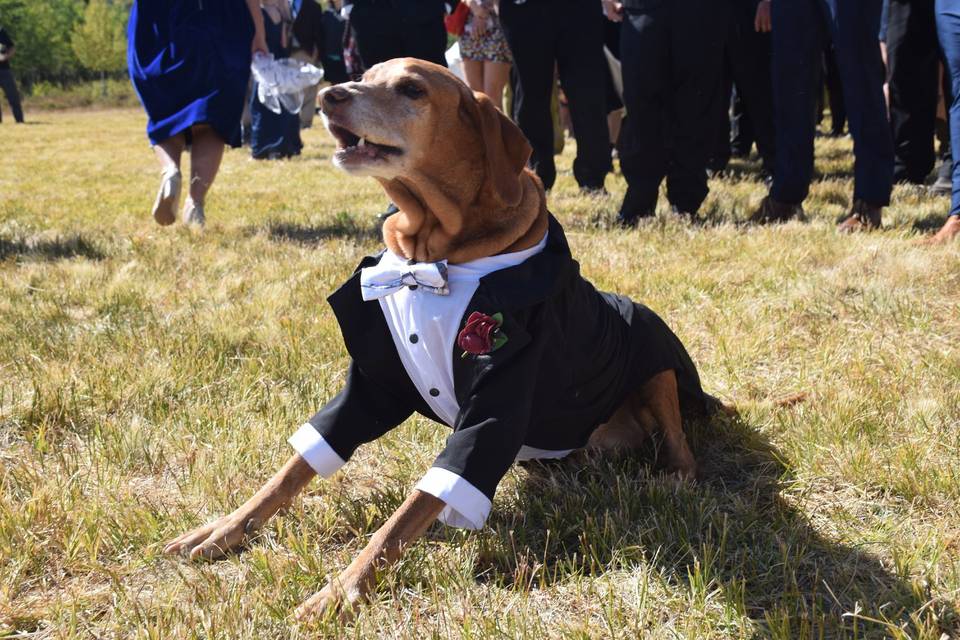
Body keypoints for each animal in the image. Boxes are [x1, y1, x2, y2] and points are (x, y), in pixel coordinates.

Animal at [165, 58, 716, 620]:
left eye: (412, 89)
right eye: (366, 74)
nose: (326, 96)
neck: (431, 257)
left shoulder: (496, 405)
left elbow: (408, 513)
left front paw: (340, 590)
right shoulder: (374, 385)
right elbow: (294, 468)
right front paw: (225, 528)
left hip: (656, 363)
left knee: (682, 447)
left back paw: (672, 475)